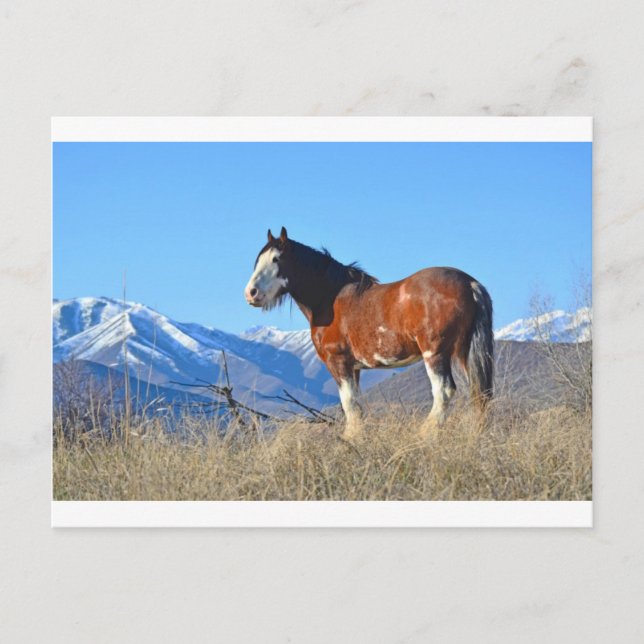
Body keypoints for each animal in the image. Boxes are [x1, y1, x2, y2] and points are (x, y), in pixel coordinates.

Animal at [244, 227, 494, 439]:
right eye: (258, 260)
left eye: (277, 259)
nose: (251, 293)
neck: (330, 299)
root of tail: (469, 283)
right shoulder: (354, 368)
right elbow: (356, 406)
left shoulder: (338, 363)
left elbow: (350, 406)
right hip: (464, 353)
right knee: (479, 394)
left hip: (435, 353)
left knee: (444, 391)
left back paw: (423, 435)